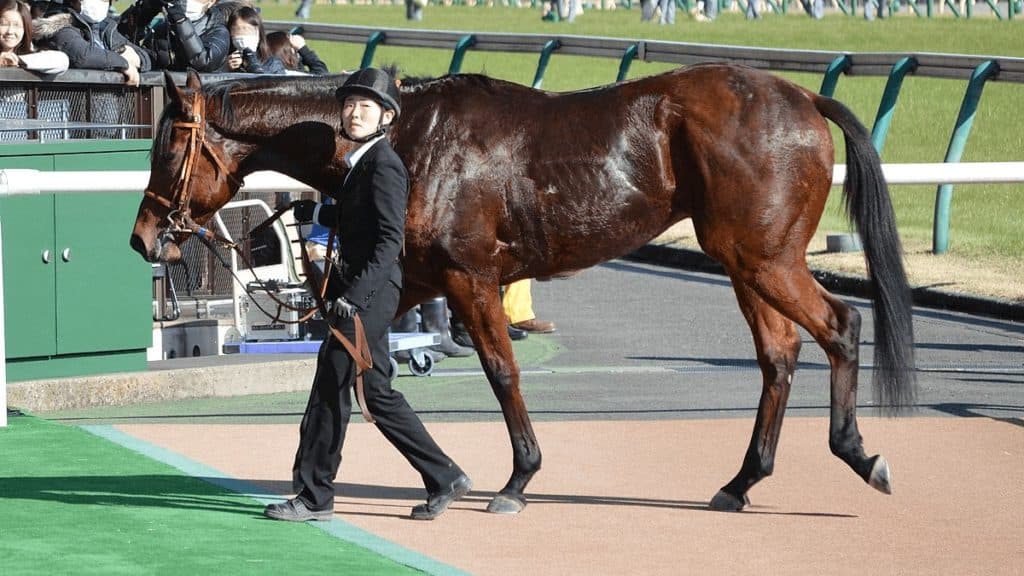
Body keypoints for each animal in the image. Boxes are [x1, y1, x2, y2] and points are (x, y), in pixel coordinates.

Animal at [130, 66, 916, 514]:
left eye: (168, 146)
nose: (143, 237)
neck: (411, 140)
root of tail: (802, 95)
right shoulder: (407, 282)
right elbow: (348, 368)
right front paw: (333, 484)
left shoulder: (470, 279)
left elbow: (501, 372)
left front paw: (515, 480)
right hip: (745, 262)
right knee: (779, 356)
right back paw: (742, 482)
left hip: (764, 259)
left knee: (840, 327)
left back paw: (860, 453)